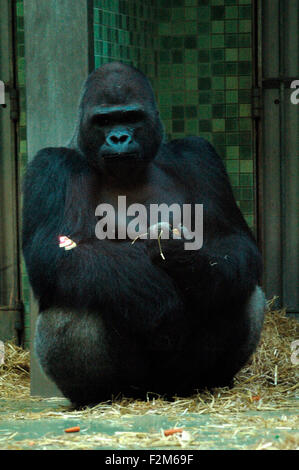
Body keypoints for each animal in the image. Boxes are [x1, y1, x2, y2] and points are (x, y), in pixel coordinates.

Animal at [23, 61, 268, 408]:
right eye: (104, 120)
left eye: (132, 117)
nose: (119, 137)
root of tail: (154, 393)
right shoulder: (50, 166)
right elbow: (56, 253)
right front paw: (158, 296)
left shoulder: (198, 155)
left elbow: (232, 241)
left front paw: (188, 262)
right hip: (131, 385)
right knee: (74, 298)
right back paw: (94, 396)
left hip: (177, 379)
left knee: (237, 286)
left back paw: (209, 381)